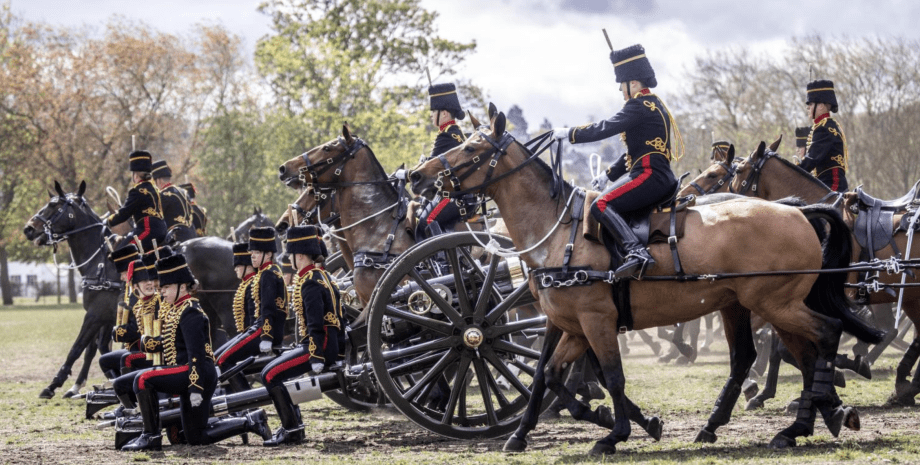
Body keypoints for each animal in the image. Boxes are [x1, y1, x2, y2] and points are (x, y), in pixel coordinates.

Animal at [23, 179, 241, 396]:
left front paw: (54, 384)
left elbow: (78, 348)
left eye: (54, 205)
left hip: (225, 309)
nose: (28, 229)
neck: (101, 260)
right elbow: (94, 349)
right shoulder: (107, 317)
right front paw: (83, 383)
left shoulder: (95, 314)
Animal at [408, 105, 876, 454]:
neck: (558, 232)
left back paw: (808, 417)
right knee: (784, 353)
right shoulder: (570, 325)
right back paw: (803, 420)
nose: (416, 176)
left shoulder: (596, 321)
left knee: (824, 335)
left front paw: (614, 434)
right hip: (751, 306)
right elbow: (549, 376)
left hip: (775, 304)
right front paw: (549, 428)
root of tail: (796, 211)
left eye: (471, 146)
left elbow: (611, 376)